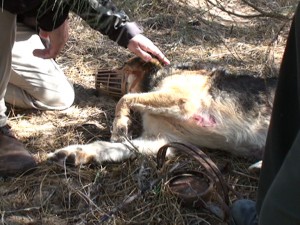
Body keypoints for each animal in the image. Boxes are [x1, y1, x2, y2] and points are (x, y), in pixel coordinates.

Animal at [48, 56, 276, 165]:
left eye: (123, 66)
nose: (95, 78)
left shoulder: (183, 101)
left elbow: (124, 99)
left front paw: (120, 125)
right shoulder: (160, 141)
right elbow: (108, 147)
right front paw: (77, 153)